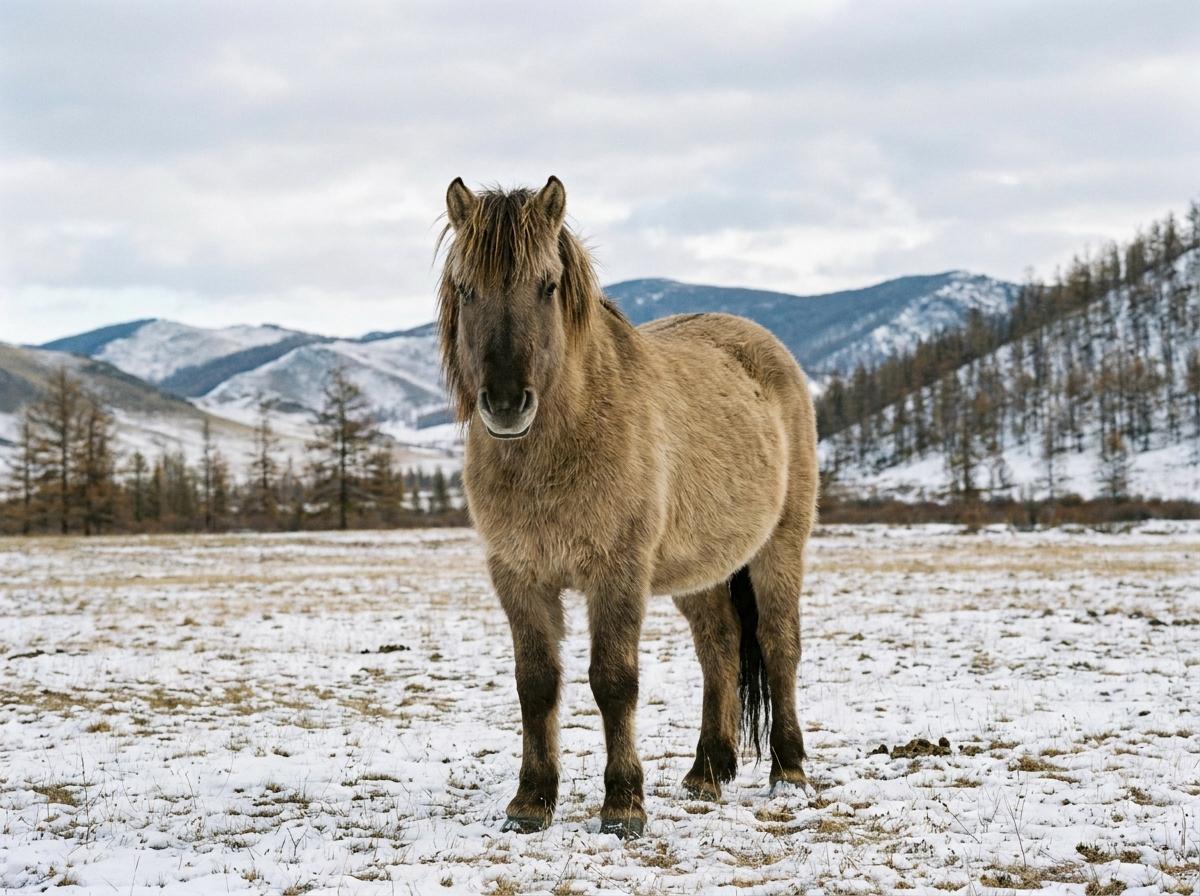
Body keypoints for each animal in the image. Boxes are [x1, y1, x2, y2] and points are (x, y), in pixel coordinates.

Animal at [436, 176, 819, 838]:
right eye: (466, 286)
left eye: (548, 284)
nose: (507, 403)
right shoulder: (518, 575)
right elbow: (536, 684)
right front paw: (530, 801)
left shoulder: (617, 572)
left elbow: (613, 682)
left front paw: (622, 804)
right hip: (700, 571)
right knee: (719, 646)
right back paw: (706, 772)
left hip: (780, 548)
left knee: (778, 645)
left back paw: (788, 771)